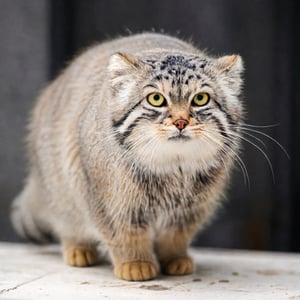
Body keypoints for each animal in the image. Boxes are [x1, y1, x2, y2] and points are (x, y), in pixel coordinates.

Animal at [11, 33, 244, 282]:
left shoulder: (191, 209)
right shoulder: (107, 202)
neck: (173, 168)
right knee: (68, 221)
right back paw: (78, 249)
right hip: (62, 188)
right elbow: (124, 235)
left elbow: (175, 236)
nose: (181, 122)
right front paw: (135, 262)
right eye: (156, 99)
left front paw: (174, 257)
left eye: (200, 98)